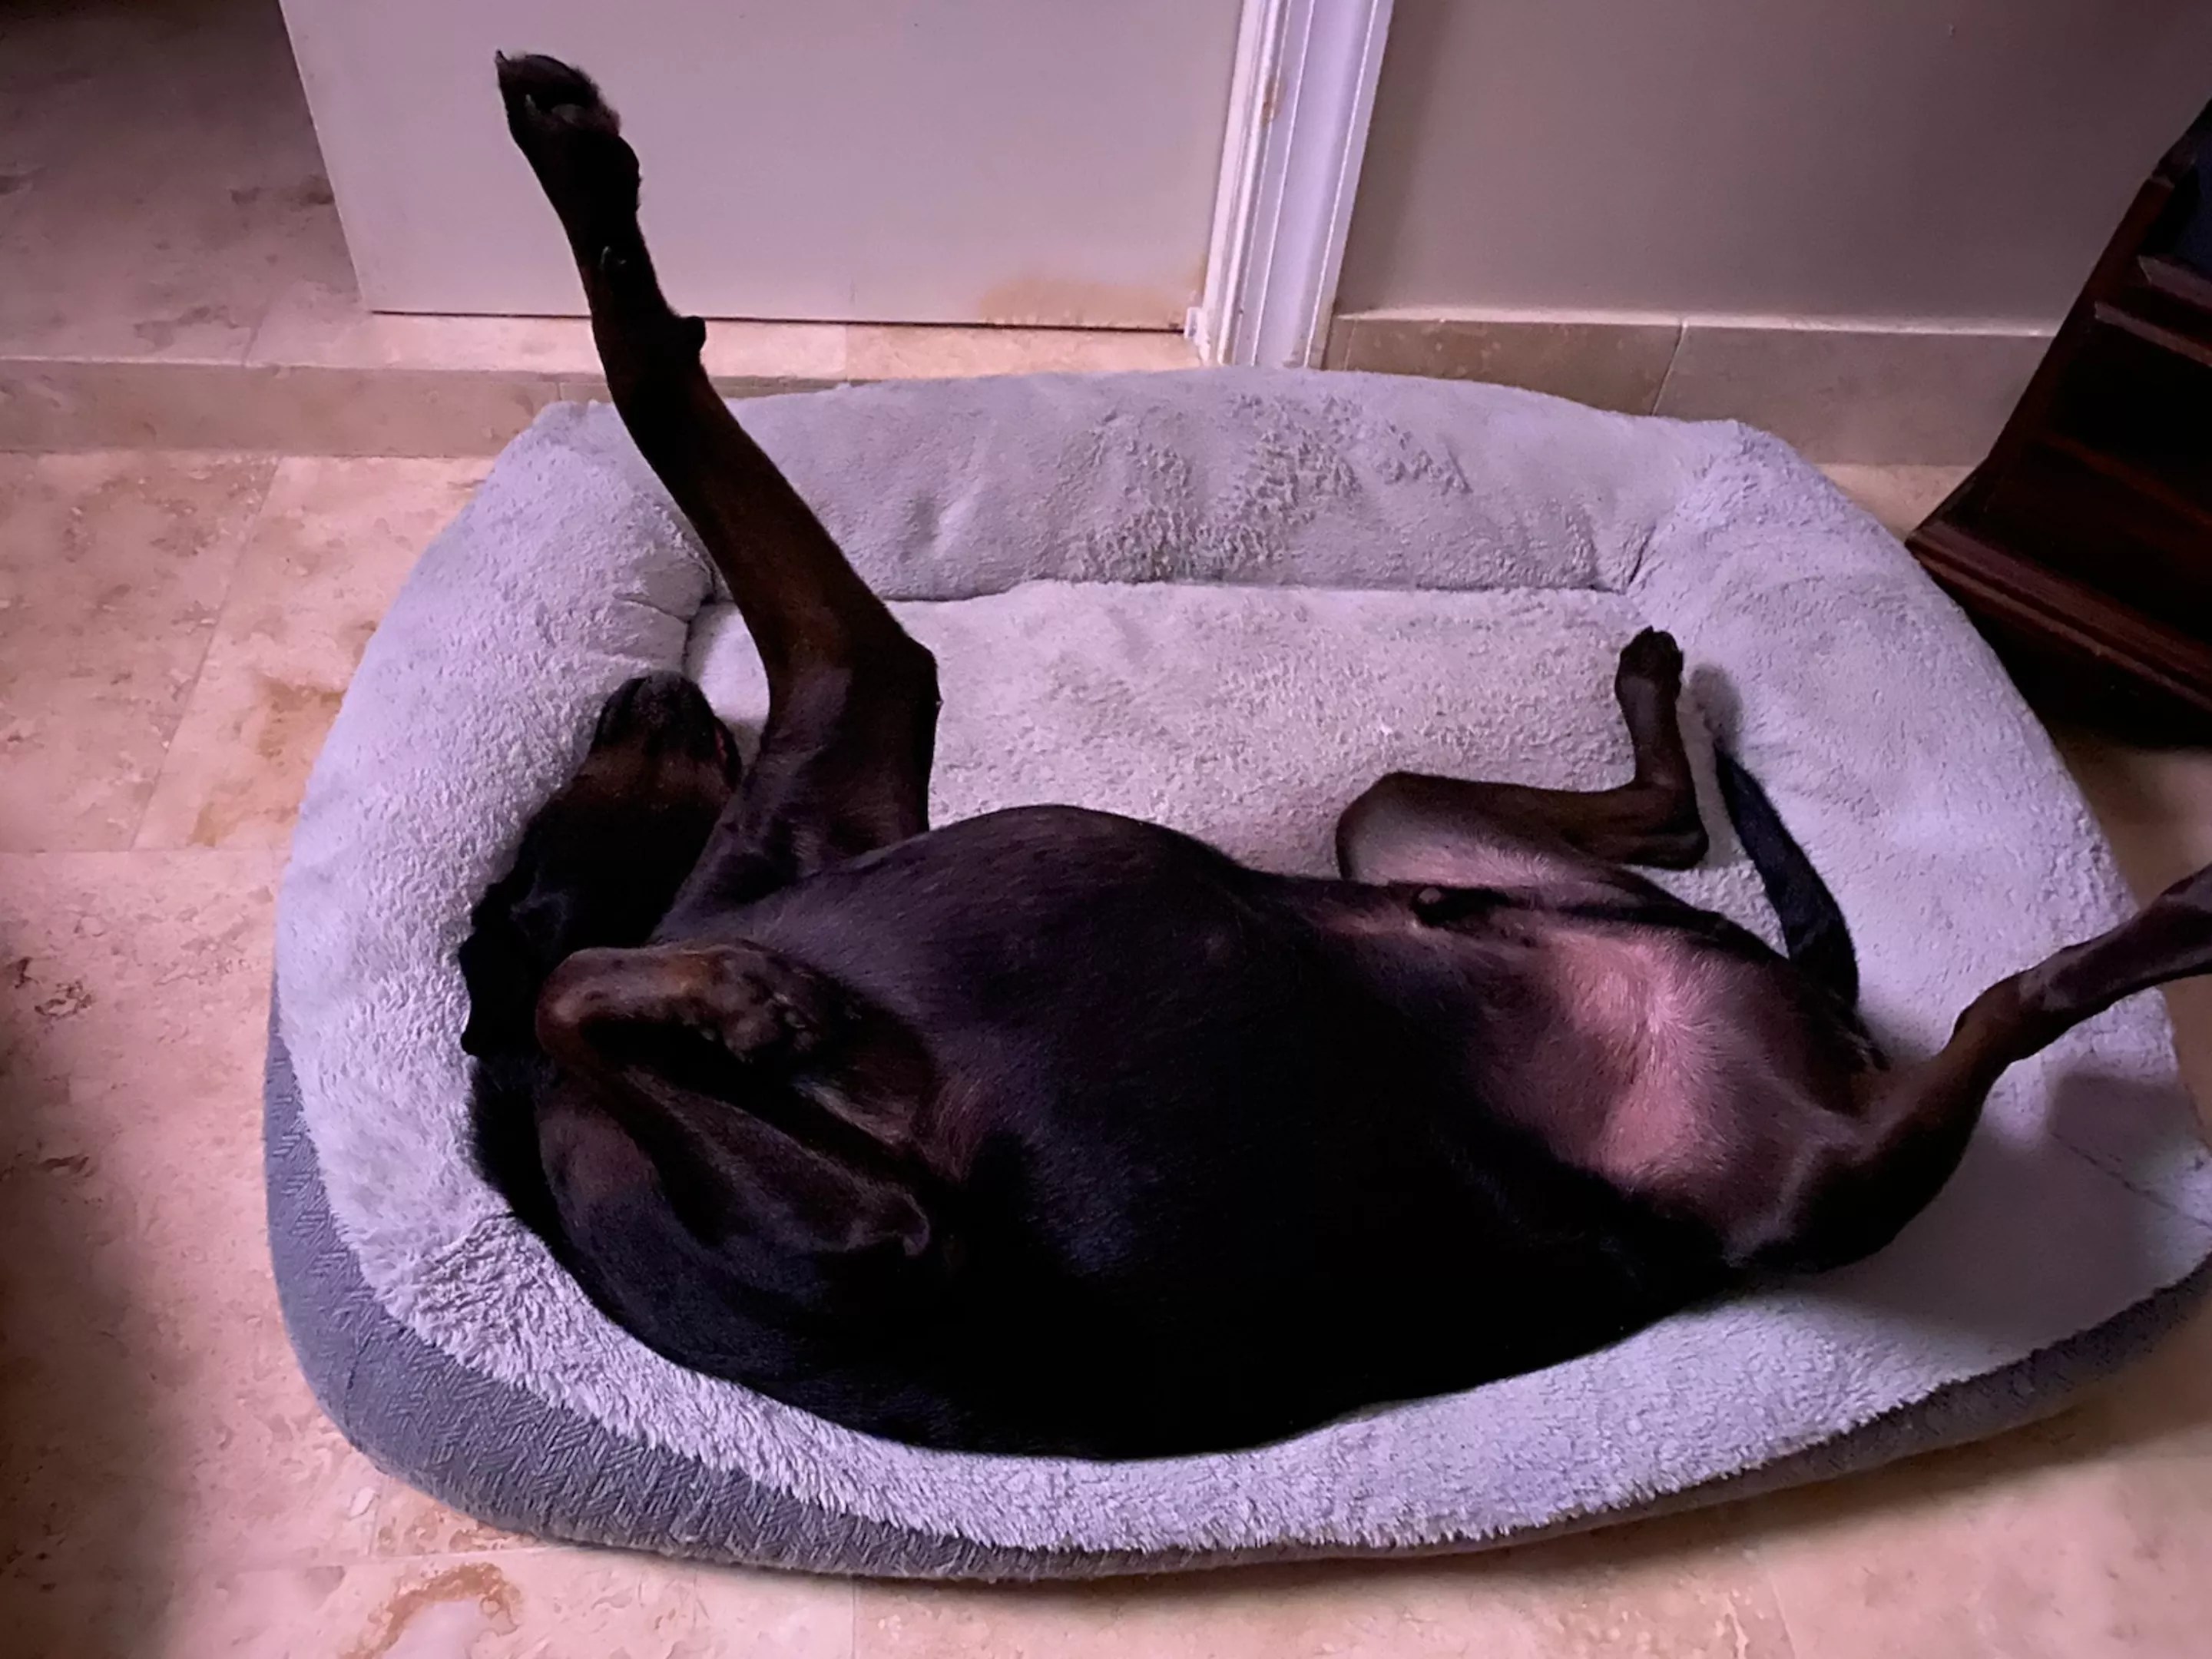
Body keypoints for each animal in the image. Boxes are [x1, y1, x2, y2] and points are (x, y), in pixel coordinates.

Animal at [460, 54, 2212, 1459]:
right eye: (534, 832)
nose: (634, 695)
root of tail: (1798, 1018)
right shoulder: (882, 1226)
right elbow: (574, 986)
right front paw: (733, 1000)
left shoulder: (850, 719)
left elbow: (654, 382)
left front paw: (572, 153)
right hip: (1804, 1175)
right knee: (1992, 1020)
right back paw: (2170, 923)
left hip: (1405, 829)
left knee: (1655, 820)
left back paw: (1658, 687)